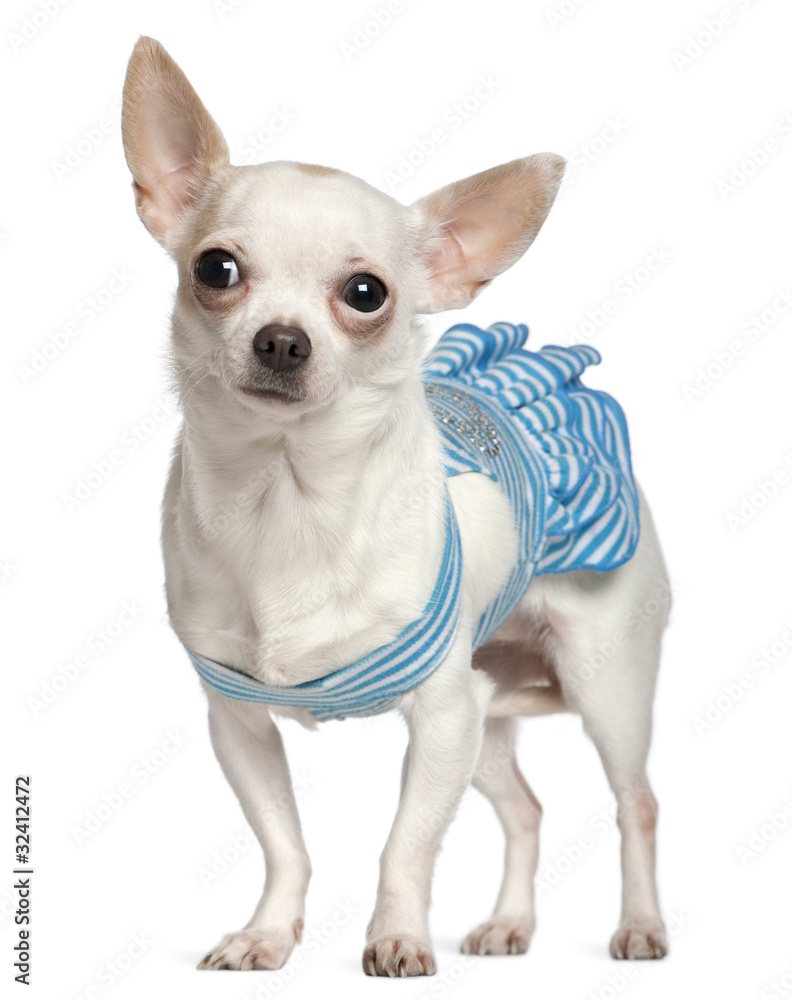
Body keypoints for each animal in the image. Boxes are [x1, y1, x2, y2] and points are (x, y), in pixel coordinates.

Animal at [122, 37, 668, 976]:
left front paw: (399, 936)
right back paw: (510, 925)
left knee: (635, 802)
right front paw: (268, 934)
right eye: (216, 270)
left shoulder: (440, 717)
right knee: (525, 808)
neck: (289, 496)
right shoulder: (239, 721)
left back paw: (639, 926)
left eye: (367, 294)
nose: (281, 340)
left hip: (603, 687)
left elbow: (405, 845)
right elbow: (284, 842)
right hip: (487, 708)